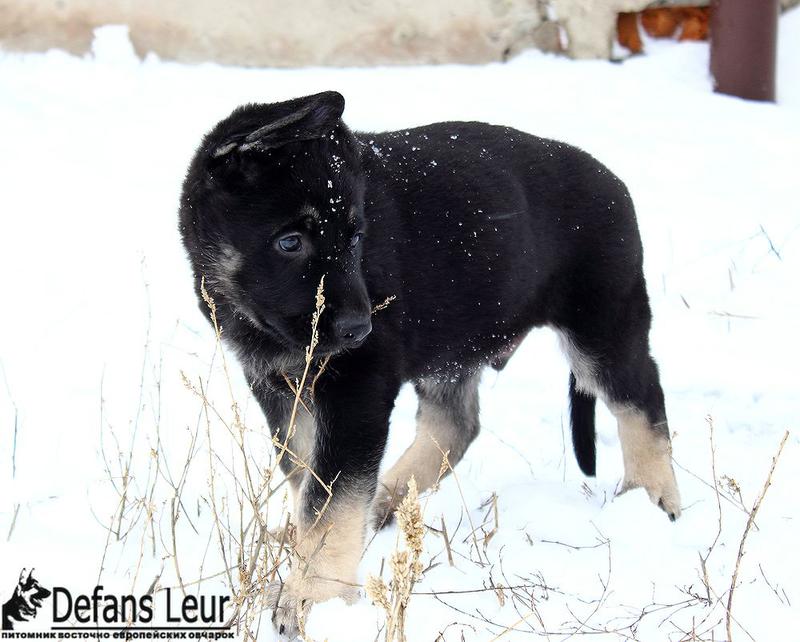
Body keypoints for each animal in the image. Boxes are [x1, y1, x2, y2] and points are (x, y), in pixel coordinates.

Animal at [178, 90, 680, 636]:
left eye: (356, 237)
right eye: (289, 242)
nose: (358, 330)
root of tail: (616, 184)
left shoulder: (356, 386)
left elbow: (331, 501)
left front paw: (313, 599)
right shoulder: (278, 381)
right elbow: (307, 477)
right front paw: (304, 557)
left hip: (601, 326)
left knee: (642, 402)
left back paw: (652, 500)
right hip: (454, 348)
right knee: (455, 425)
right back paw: (386, 502)